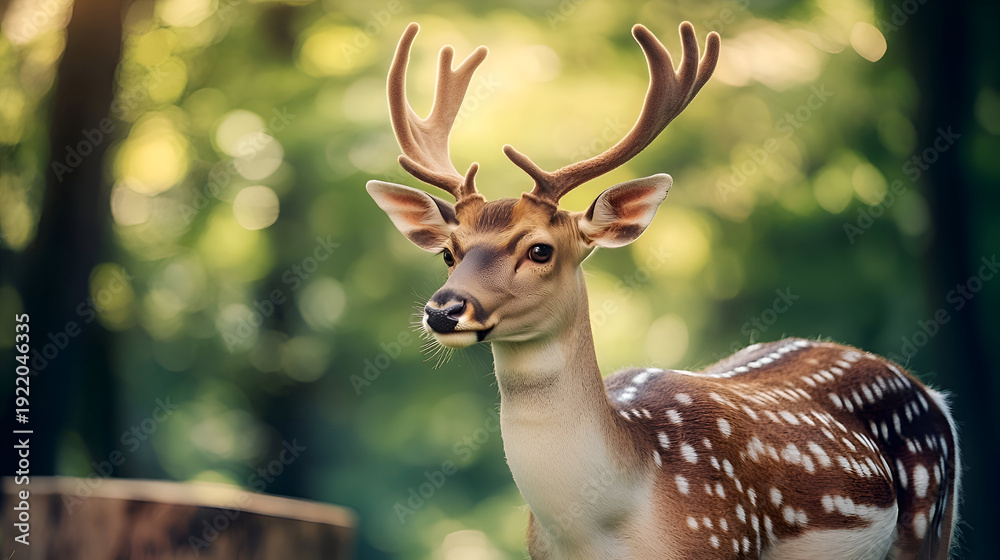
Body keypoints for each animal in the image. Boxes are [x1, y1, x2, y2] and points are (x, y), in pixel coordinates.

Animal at [365, 21, 961, 559]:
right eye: (449, 252)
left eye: (539, 249)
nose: (443, 310)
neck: (603, 527)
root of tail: (935, 395)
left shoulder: (721, 538)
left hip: (932, 523)